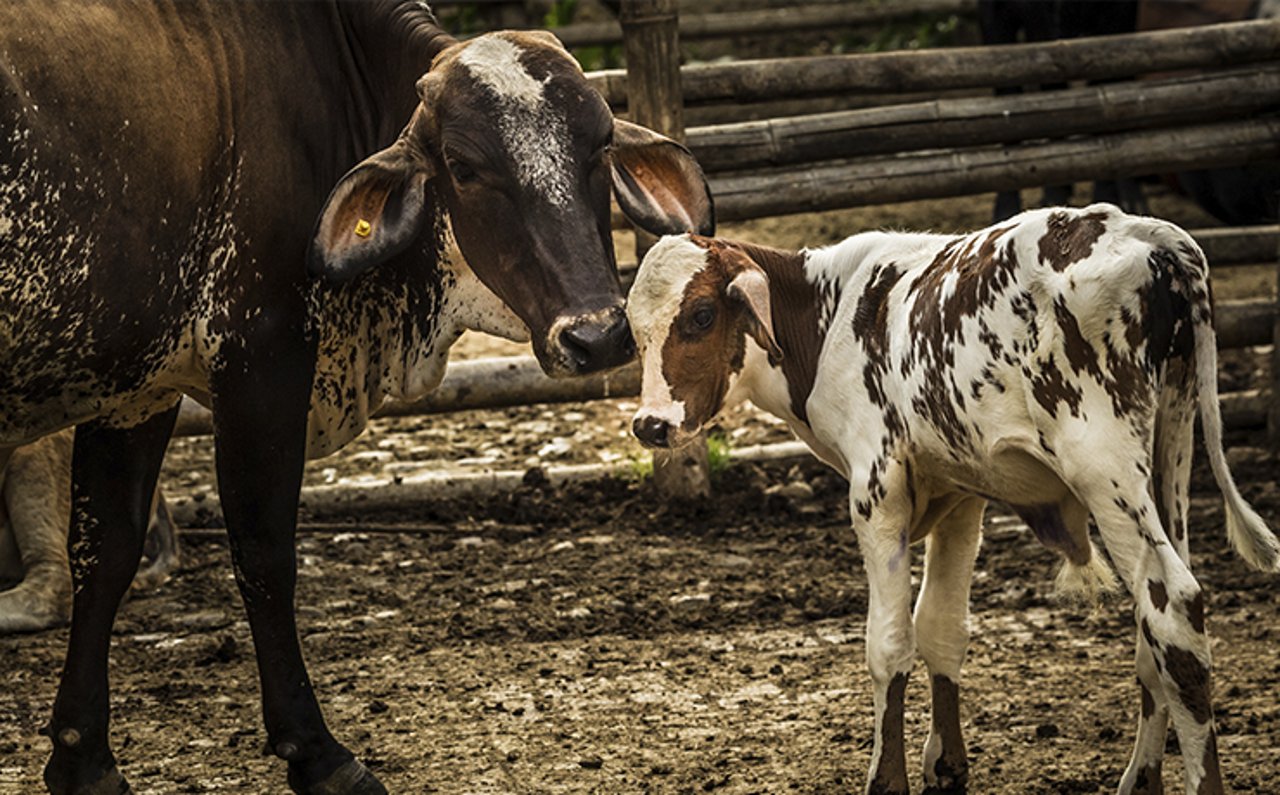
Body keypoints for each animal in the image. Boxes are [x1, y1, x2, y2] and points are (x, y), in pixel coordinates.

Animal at [2, 3, 711, 788]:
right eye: (464, 166)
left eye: (599, 146)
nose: (596, 335)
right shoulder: (263, 354)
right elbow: (264, 551)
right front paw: (316, 750)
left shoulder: (135, 388)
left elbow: (104, 553)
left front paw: (84, 760)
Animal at [627, 204, 1280, 793]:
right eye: (636, 333)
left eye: (702, 314)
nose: (651, 425)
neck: (829, 314)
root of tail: (1149, 234)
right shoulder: (962, 496)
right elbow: (942, 628)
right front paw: (944, 766)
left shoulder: (878, 490)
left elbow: (889, 644)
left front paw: (886, 779)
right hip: (1171, 445)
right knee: (1155, 637)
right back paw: (1139, 778)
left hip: (1106, 467)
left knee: (1173, 611)